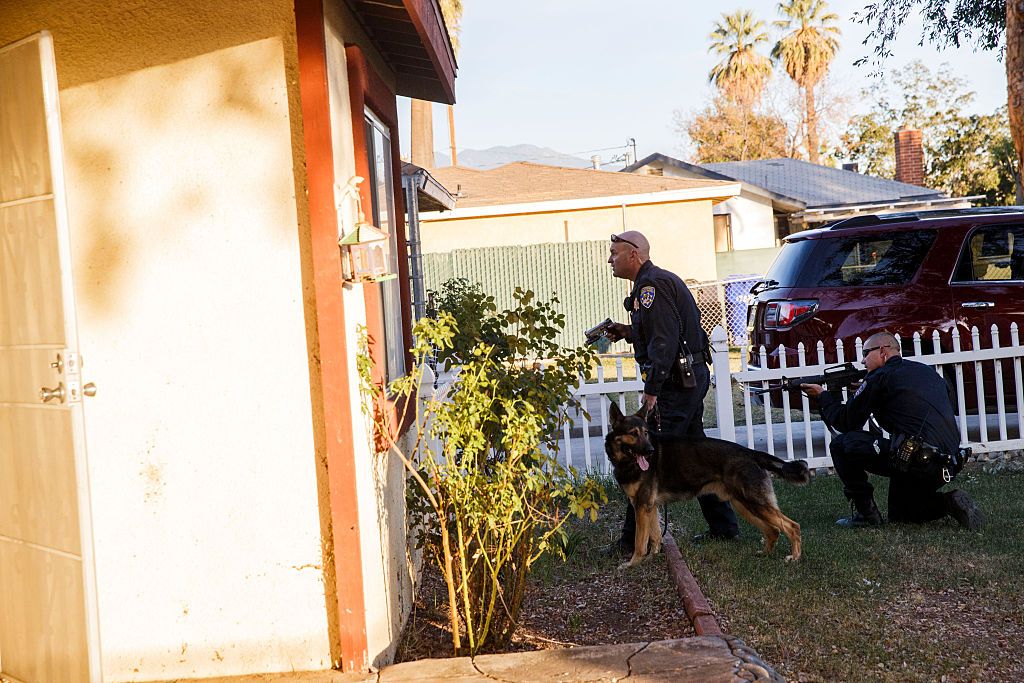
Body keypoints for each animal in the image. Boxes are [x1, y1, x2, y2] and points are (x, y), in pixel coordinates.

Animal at [602, 405, 811, 565]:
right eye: (633, 434)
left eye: (645, 433)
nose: (650, 451)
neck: (626, 461)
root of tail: (750, 452)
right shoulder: (649, 507)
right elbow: (654, 537)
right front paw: (651, 559)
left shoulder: (641, 506)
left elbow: (640, 541)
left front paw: (633, 563)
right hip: (743, 505)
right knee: (773, 530)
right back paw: (765, 554)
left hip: (755, 503)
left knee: (792, 526)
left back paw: (795, 557)